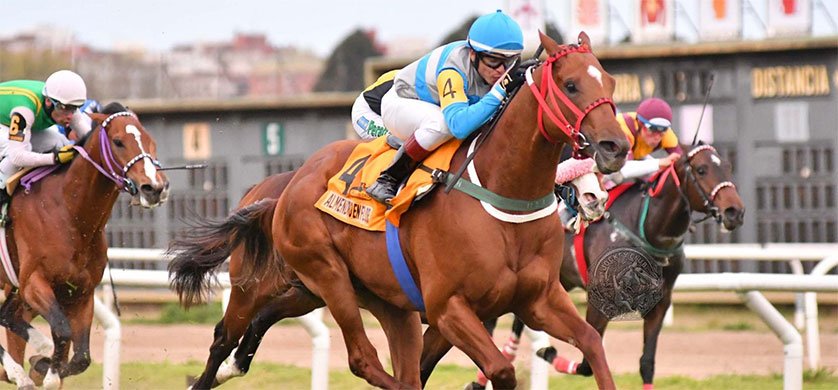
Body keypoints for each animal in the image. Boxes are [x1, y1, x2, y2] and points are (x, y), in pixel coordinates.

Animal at [0, 102, 169, 388]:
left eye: (150, 141)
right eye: (118, 141)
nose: (154, 187)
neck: (69, 213)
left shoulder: (80, 292)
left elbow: (81, 358)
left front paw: (43, 365)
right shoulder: (34, 282)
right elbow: (61, 331)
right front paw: (46, 366)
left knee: (7, 315)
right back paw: (18, 369)